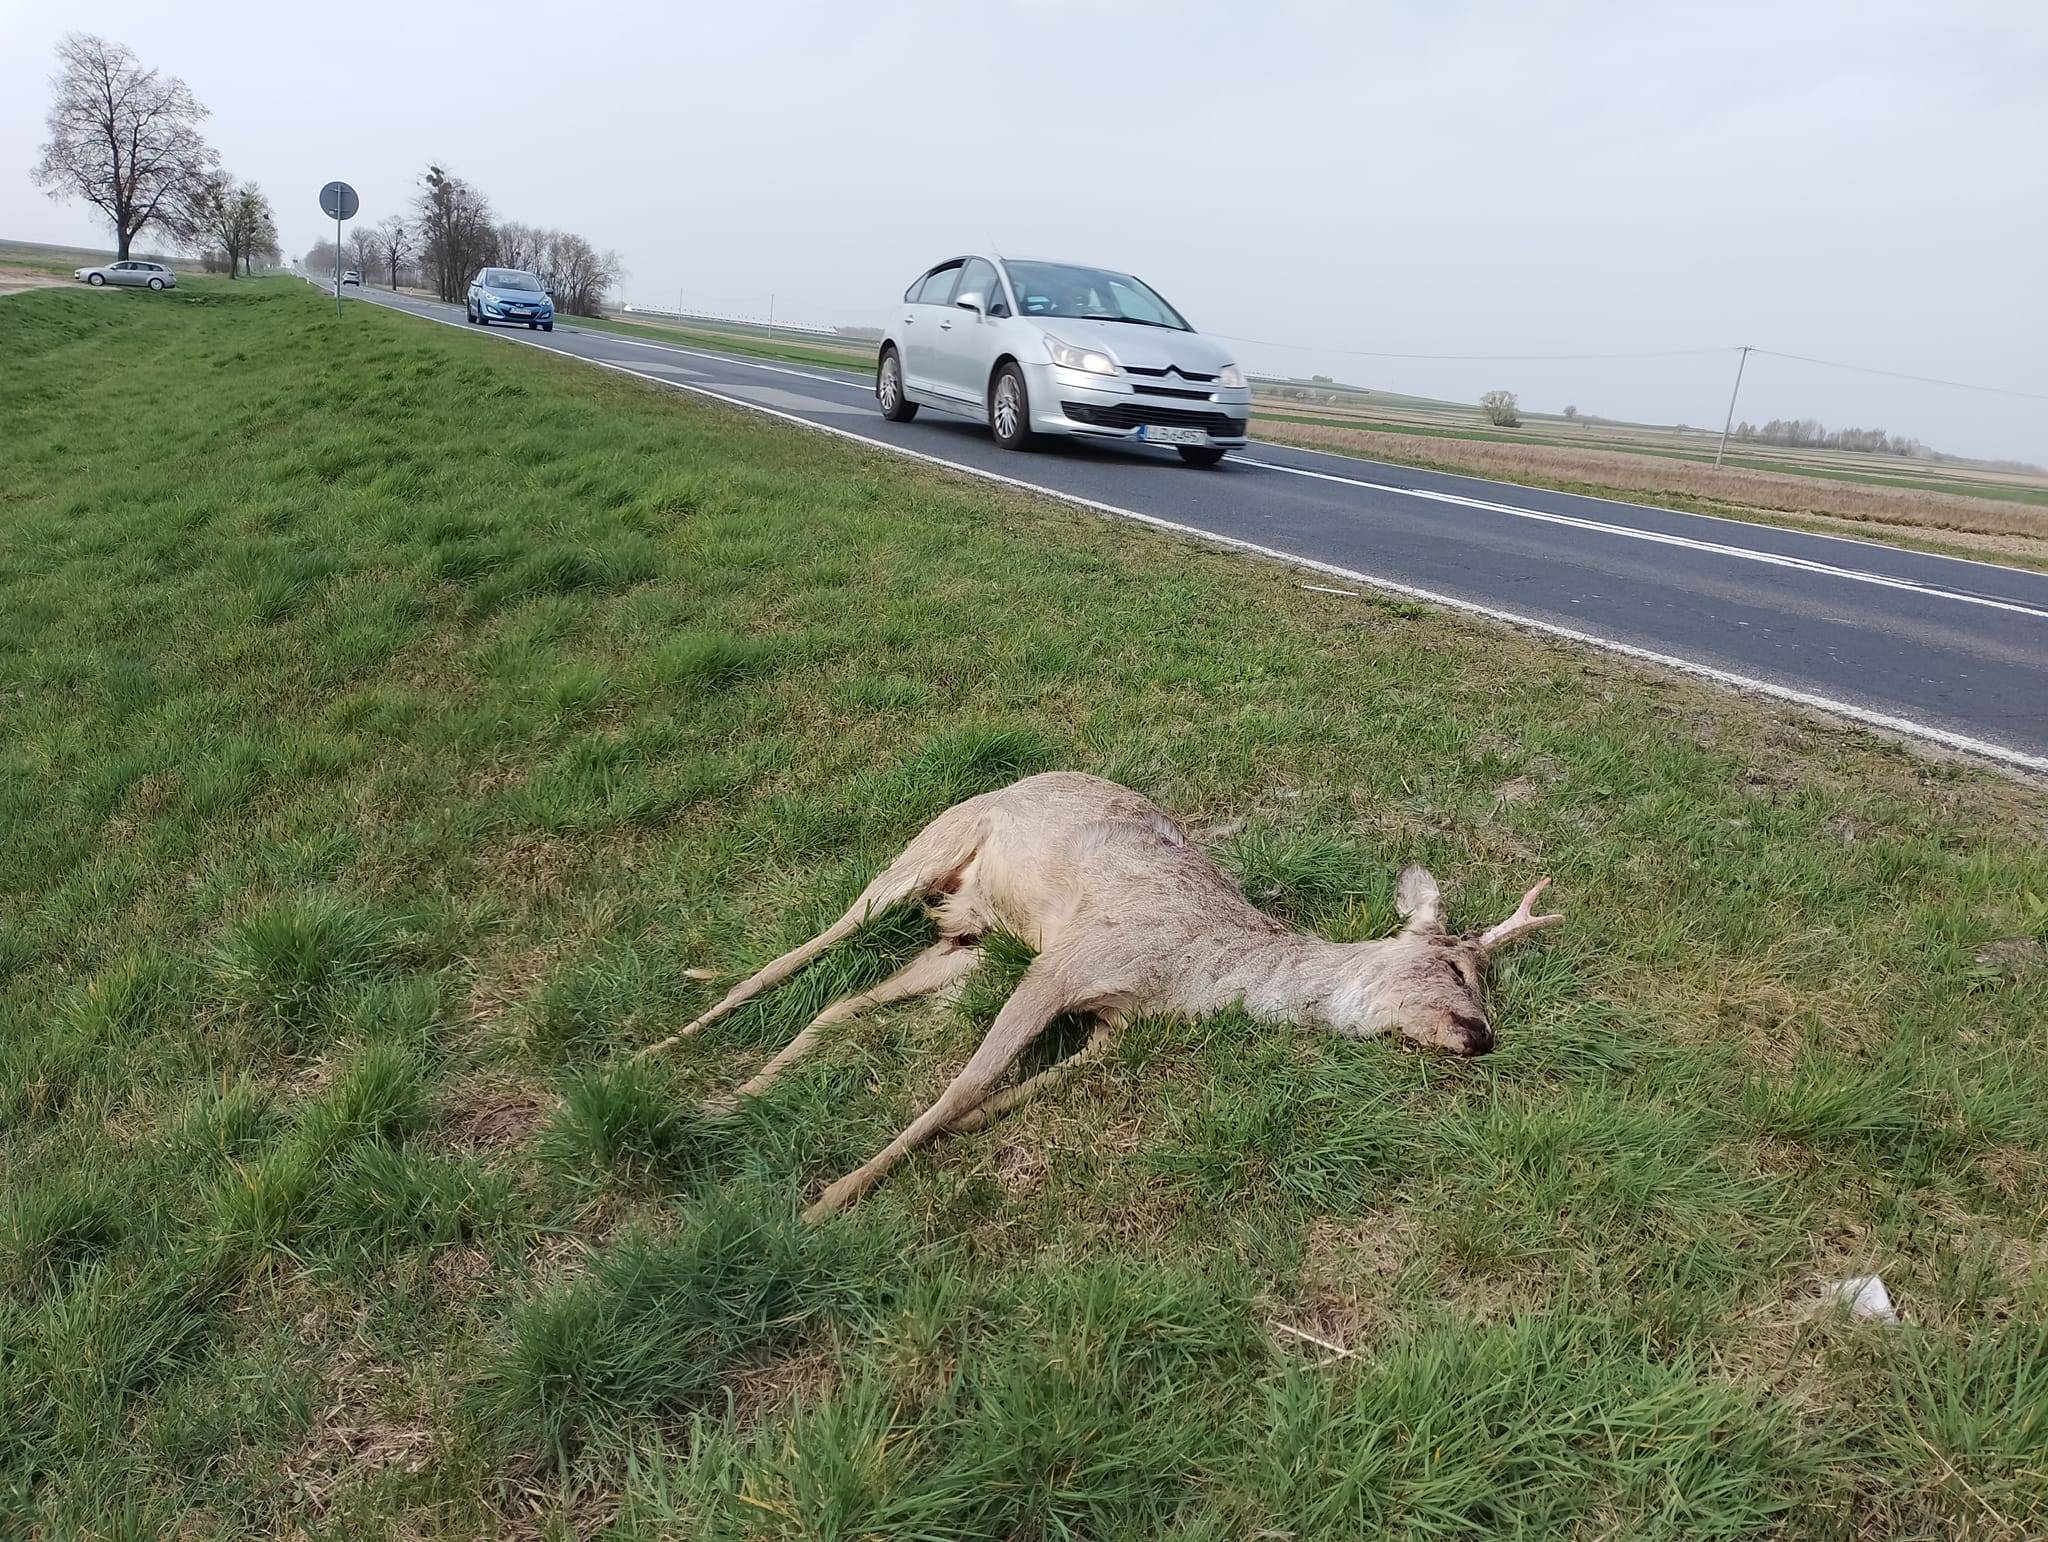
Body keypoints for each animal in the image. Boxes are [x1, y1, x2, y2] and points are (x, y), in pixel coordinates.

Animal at [647, 769, 1556, 1212]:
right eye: (1456, 968)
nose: (1482, 1038)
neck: (1200, 973)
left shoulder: (1113, 1027)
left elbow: (1000, 1097)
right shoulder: (1068, 963)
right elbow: (964, 1085)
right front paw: (826, 1202)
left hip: (972, 942)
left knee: (849, 1001)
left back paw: (730, 1096)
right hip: (929, 850)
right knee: (808, 947)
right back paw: (667, 1048)